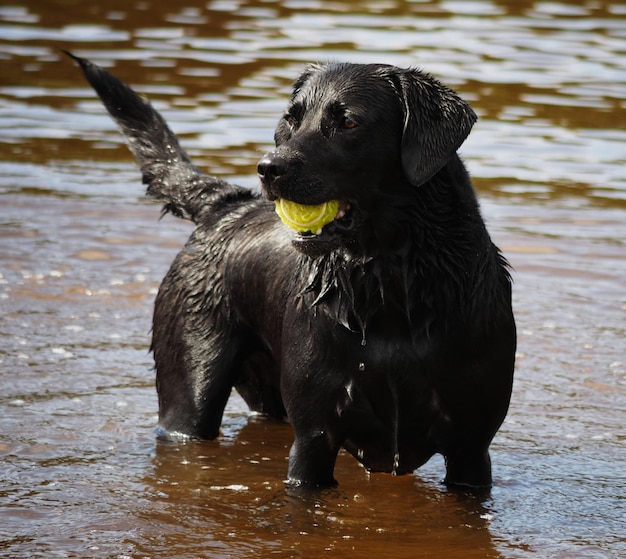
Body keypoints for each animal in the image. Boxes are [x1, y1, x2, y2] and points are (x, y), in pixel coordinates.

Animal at [70, 53, 516, 490]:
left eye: (348, 121)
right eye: (291, 119)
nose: (267, 168)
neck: (390, 288)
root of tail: (228, 206)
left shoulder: (471, 450)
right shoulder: (314, 438)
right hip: (189, 393)